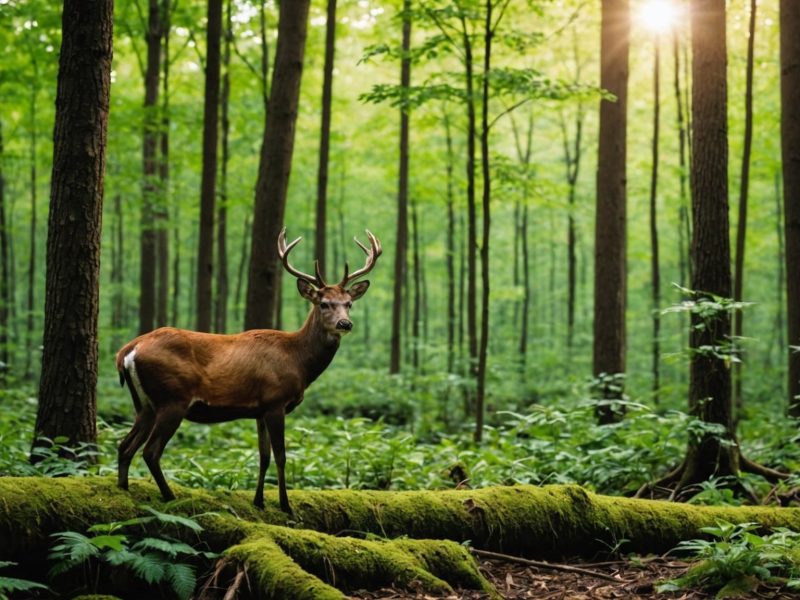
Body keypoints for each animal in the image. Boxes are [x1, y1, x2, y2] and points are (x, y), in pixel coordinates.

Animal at [113, 227, 384, 512]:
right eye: (323, 303)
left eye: (349, 303)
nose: (345, 324)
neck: (298, 360)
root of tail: (128, 350)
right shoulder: (276, 401)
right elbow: (281, 456)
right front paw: (286, 506)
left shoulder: (260, 409)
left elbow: (263, 456)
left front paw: (259, 501)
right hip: (172, 398)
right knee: (150, 451)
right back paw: (169, 497)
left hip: (145, 404)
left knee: (124, 446)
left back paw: (124, 489)